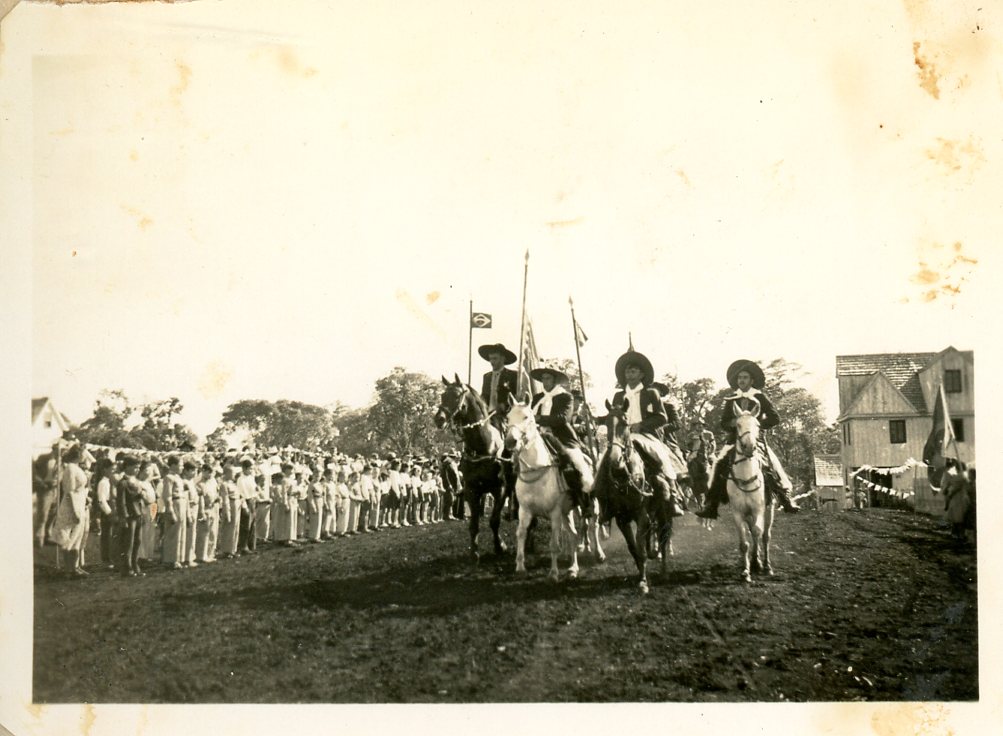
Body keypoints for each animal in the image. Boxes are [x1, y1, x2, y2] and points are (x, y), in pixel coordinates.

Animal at [434, 375, 509, 561]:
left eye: (456, 396)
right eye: (442, 395)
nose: (439, 419)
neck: (483, 447)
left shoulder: (501, 489)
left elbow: (494, 520)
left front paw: (500, 546)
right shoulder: (471, 490)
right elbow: (474, 523)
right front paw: (474, 551)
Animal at [504, 401, 599, 581]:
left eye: (526, 416)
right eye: (508, 417)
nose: (511, 441)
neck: (536, 469)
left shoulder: (554, 513)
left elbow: (554, 544)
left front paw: (553, 573)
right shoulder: (524, 511)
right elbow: (521, 534)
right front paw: (520, 567)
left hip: (590, 504)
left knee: (593, 525)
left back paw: (598, 553)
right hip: (567, 512)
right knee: (573, 535)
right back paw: (573, 568)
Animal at [592, 399, 675, 594]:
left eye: (625, 424)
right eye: (606, 424)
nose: (614, 460)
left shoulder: (642, 514)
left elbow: (641, 547)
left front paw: (643, 582)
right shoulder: (622, 518)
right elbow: (633, 548)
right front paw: (640, 574)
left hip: (664, 512)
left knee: (664, 537)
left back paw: (664, 571)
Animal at [721, 397, 775, 583]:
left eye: (757, 425)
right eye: (737, 425)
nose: (749, 447)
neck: (745, 478)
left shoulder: (758, 510)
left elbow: (758, 533)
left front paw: (758, 564)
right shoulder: (737, 513)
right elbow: (744, 542)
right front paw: (746, 571)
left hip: (770, 510)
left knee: (765, 536)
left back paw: (766, 565)